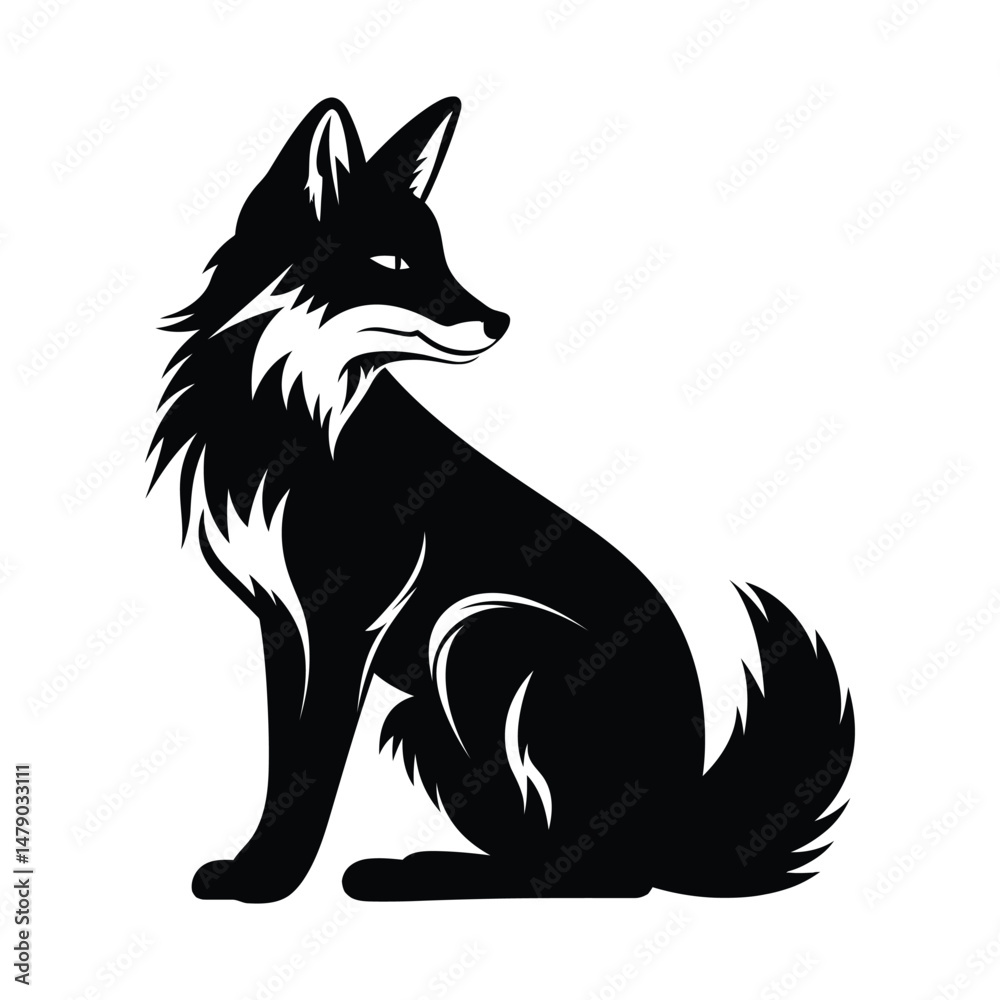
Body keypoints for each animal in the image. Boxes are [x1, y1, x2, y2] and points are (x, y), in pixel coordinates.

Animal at [148, 96, 854, 902]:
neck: (288, 410)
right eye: (396, 262)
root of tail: (681, 827)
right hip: (430, 715)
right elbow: (283, 763)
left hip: (477, 633)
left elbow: (310, 768)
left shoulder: (342, 623)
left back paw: (410, 876)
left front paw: (270, 879)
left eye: (443, 256)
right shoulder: (281, 618)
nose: (500, 322)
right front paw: (257, 867)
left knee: (594, 875)